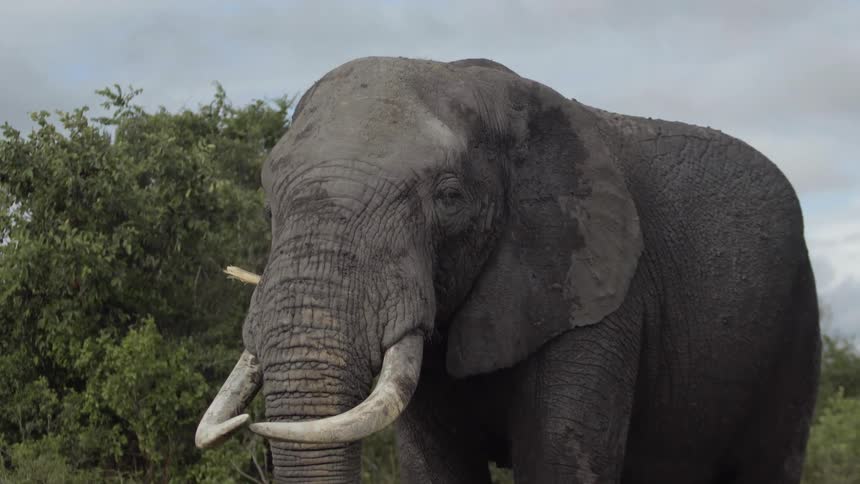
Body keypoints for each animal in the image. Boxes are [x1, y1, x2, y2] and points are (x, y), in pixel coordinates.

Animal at [194, 57, 821, 483]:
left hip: (796, 319)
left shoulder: (598, 293)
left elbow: (557, 460)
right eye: (269, 208)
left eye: (448, 197)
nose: (250, 427)